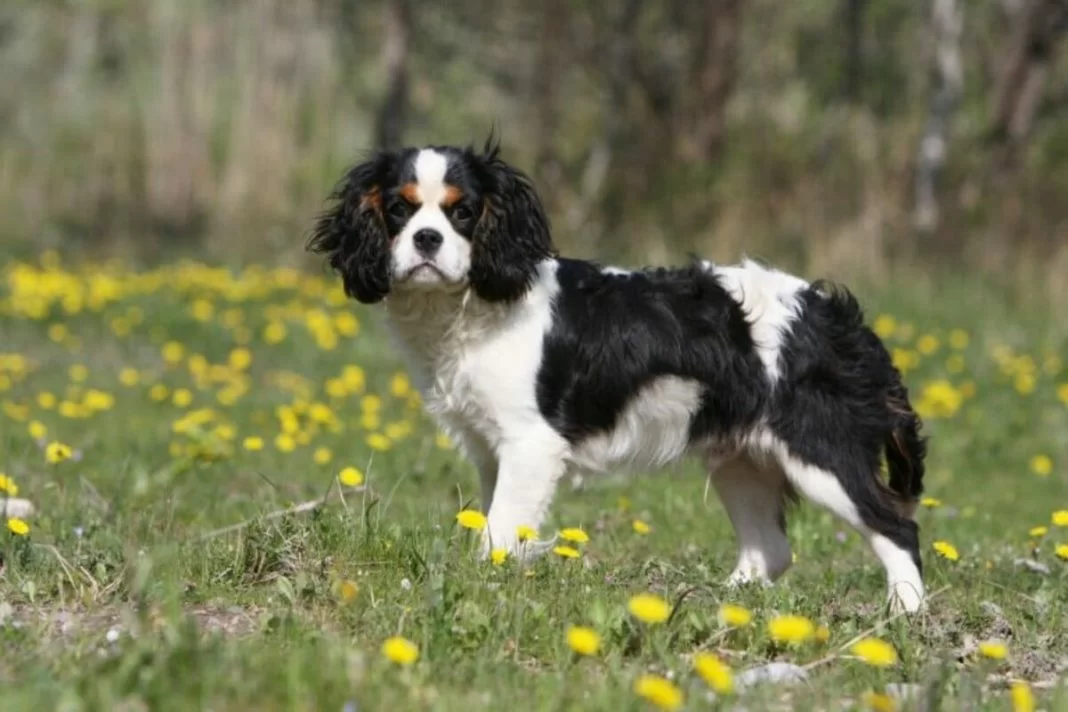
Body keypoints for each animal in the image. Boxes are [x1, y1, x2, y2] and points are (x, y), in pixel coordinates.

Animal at [307, 137, 927, 614]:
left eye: (462, 212)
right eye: (398, 209)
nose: (426, 239)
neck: (468, 306)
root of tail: (836, 317)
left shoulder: (530, 444)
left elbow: (501, 529)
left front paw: (484, 583)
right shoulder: (491, 450)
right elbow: (501, 521)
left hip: (820, 449)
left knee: (896, 527)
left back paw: (905, 613)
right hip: (741, 458)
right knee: (772, 549)